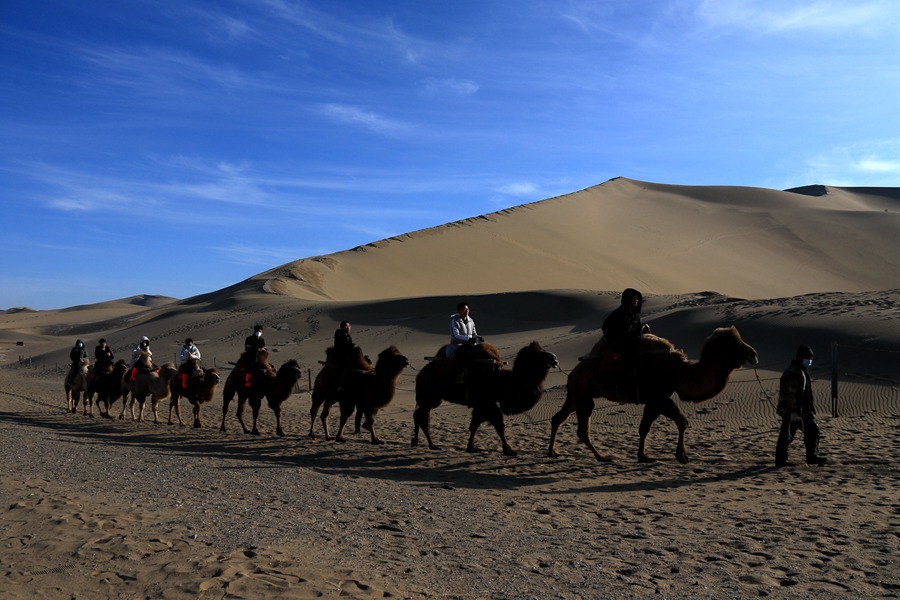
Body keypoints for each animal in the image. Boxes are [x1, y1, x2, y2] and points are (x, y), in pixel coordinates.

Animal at [414, 340, 556, 458]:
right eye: (537, 354)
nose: (554, 358)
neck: (500, 379)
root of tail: (420, 374)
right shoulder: (485, 403)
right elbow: (498, 425)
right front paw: (508, 449)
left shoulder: (483, 404)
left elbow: (476, 425)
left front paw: (471, 447)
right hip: (426, 396)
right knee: (422, 416)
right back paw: (430, 445)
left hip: (434, 399)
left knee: (419, 415)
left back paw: (419, 442)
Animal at [548, 326, 760, 462]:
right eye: (735, 344)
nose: (754, 354)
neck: (678, 371)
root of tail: (574, 371)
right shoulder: (658, 397)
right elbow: (676, 422)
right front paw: (679, 456)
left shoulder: (658, 399)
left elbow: (652, 426)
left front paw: (646, 456)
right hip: (583, 392)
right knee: (582, 429)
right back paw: (601, 457)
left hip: (576, 393)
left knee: (558, 418)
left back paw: (553, 452)